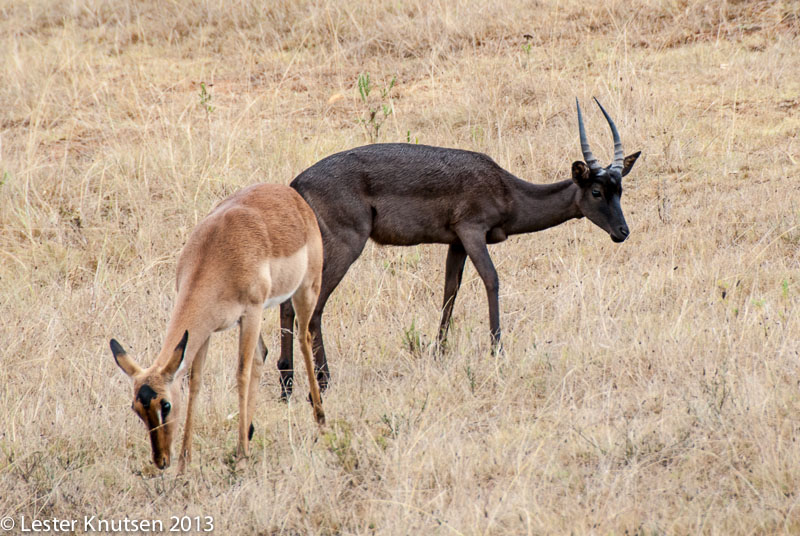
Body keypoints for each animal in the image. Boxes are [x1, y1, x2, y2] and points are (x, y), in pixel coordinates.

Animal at [109, 182, 324, 472]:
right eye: (136, 408)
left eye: (165, 404)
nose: (161, 460)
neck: (215, 253)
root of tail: (288, 193)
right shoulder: (204, 331)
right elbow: (196, 381)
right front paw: (185, 462)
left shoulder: (251, 311)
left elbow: (241, 374)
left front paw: (241, 456)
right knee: (262, 354)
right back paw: (249, 433)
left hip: (305, 290)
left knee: (303, 339)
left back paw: (320, 421)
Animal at [278, 98, 640, 398]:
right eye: (596, 191)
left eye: (620, 188)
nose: (622, 232)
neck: (507, 190)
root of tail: (296, 185)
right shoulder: (471, 231)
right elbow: (491, 280)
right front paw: (497, 352)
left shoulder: (455, 243)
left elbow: (450, 290)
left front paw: (438, 352)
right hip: (345, 245)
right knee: (312, 307)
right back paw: (322, 382)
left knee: (289, 304)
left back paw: (286, 384)